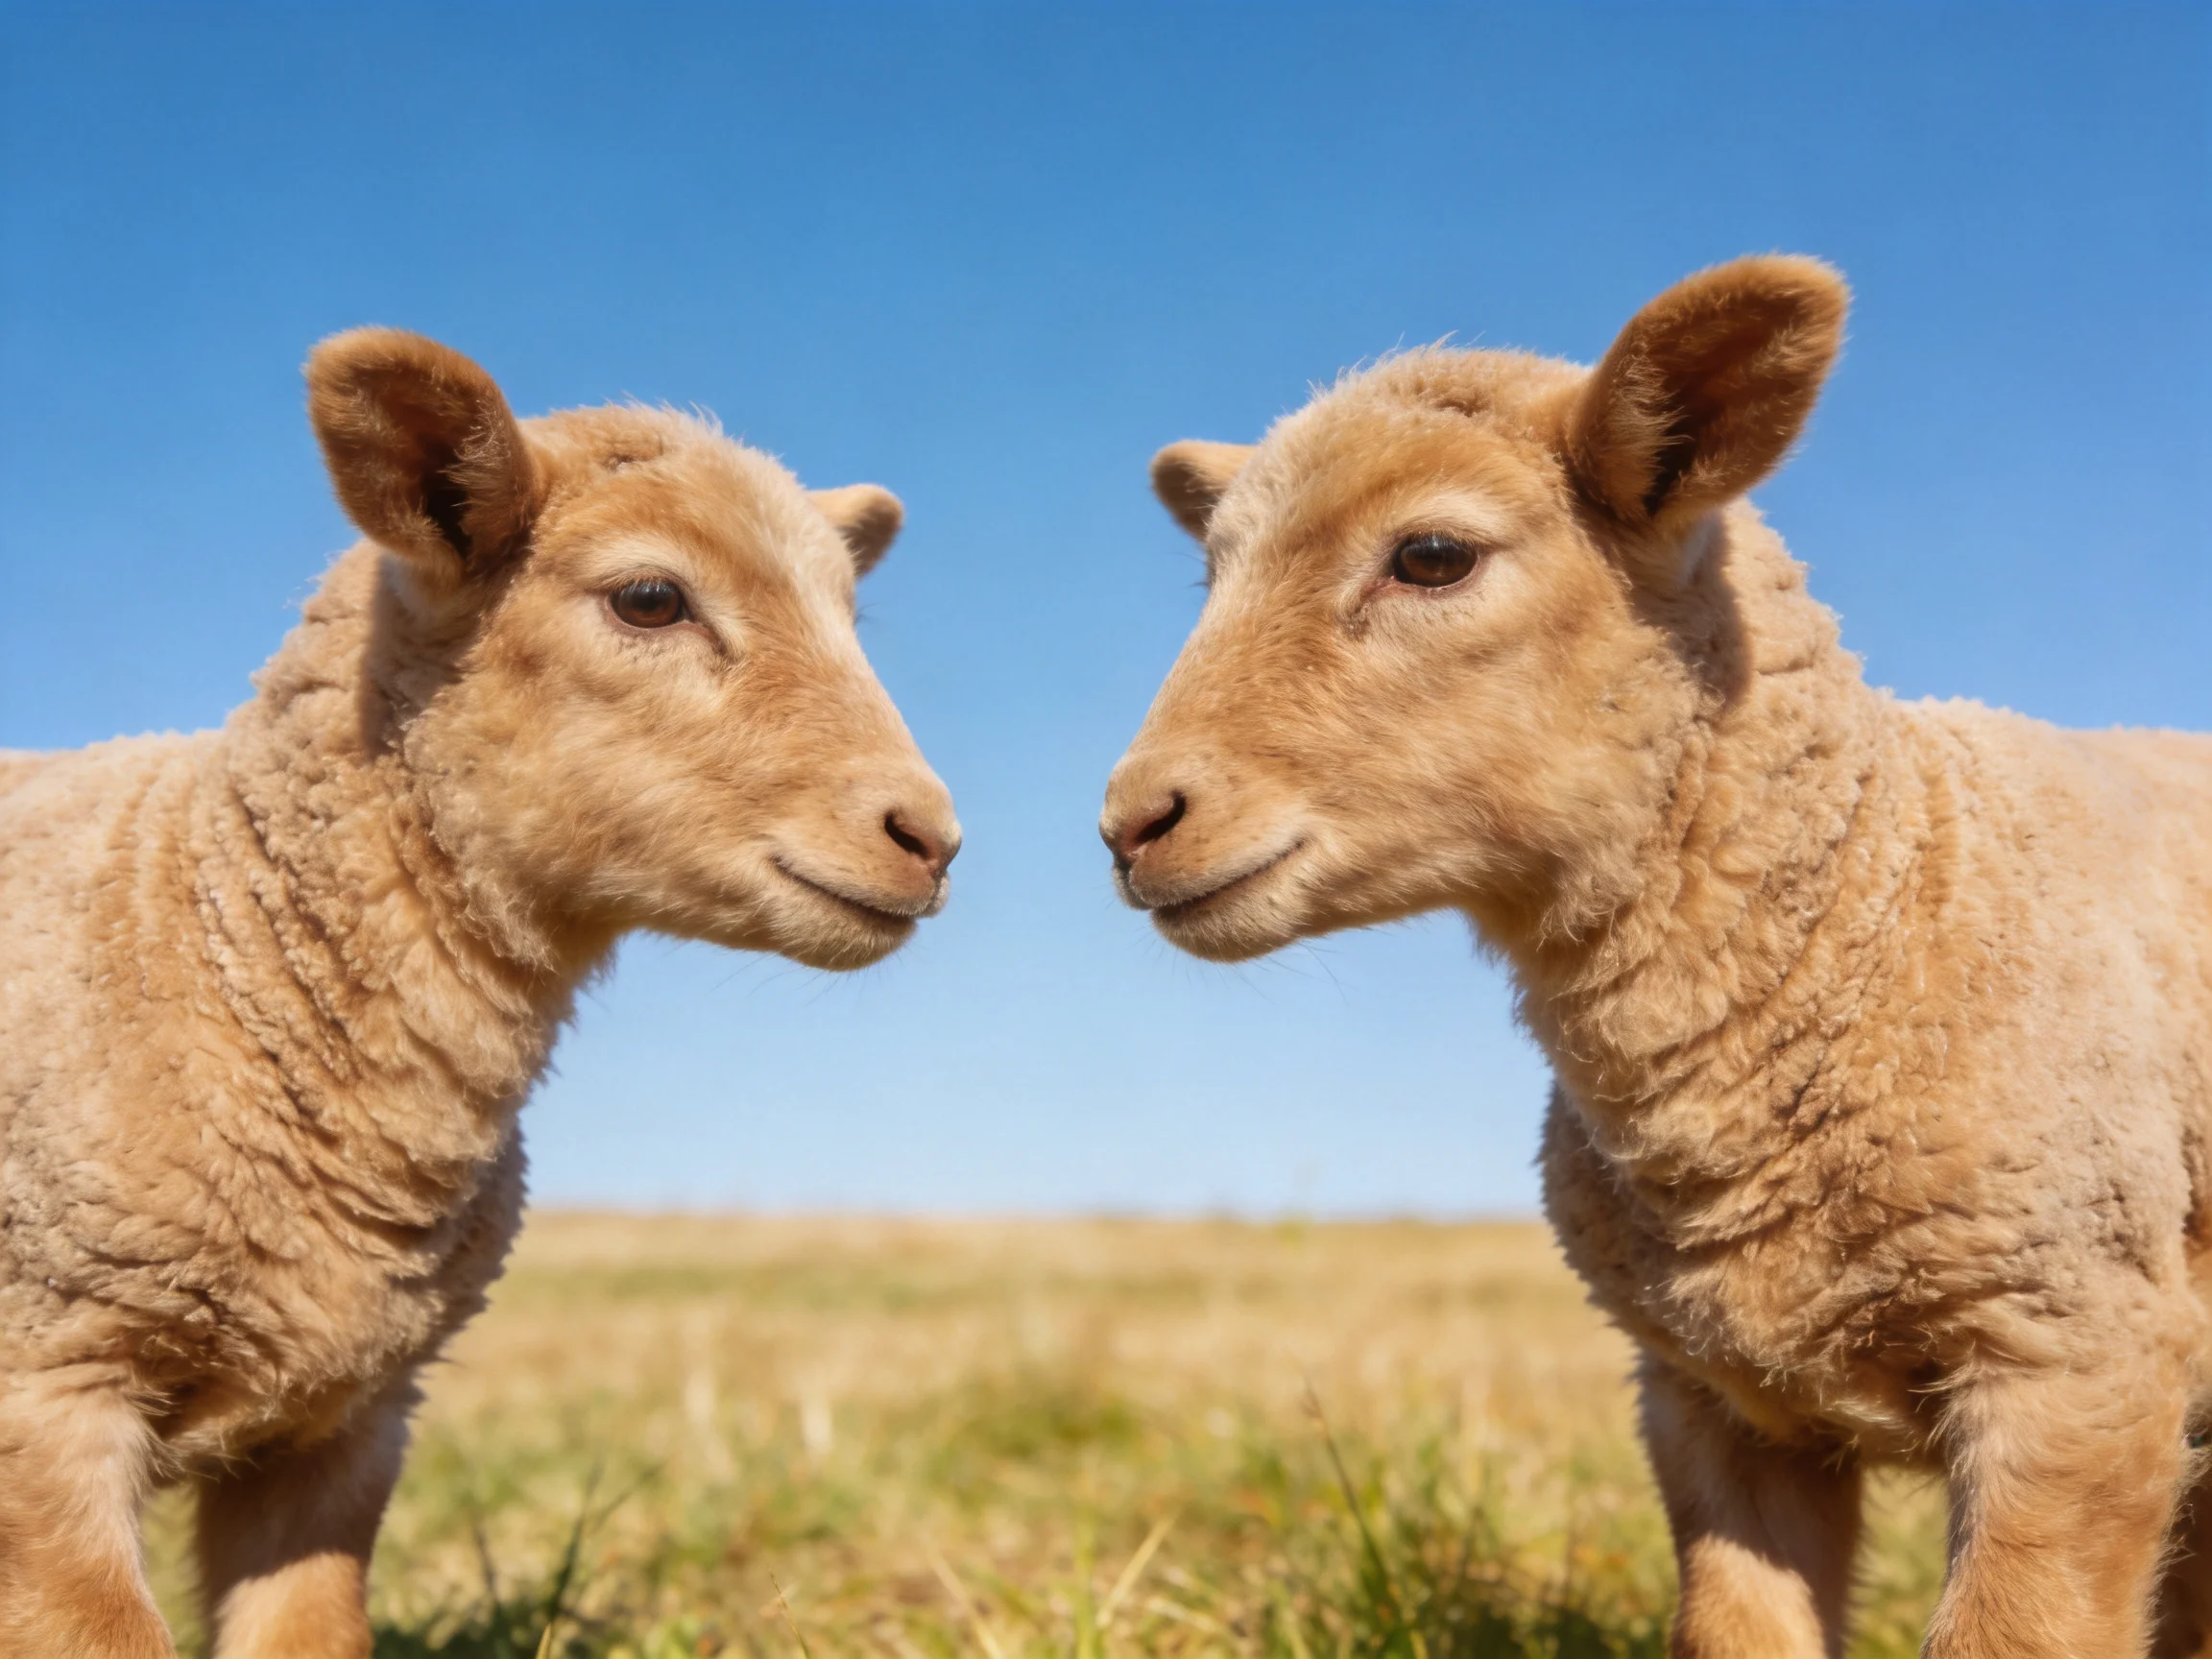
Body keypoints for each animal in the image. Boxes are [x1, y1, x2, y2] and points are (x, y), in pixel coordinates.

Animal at [1101, 257, 2212, 1658]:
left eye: (1431, 556)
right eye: (1214, 577)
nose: (1134, 823)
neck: (1880, 894)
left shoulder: (2075, 1355)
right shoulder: (1709, 1402)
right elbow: (1735, 1634)